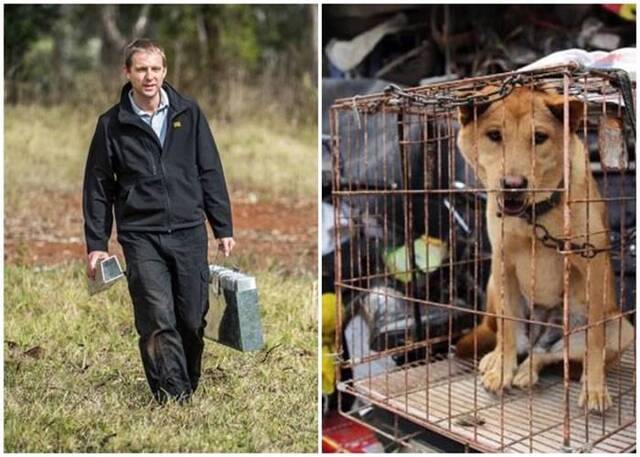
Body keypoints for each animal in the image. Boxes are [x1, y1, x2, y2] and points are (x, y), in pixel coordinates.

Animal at [456, 83, 636, 412]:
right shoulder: (502, 262)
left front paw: (594, 388)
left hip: (621, 328)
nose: (513, 184)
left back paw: (535, 371)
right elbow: (507, 331)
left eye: (539, 137)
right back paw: (498, 361)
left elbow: (594, 342)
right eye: (494, 135)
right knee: (515, 341)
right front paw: (501, 370)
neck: (534, 216)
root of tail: (542, 334)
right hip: (493, 284)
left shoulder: (592, 264)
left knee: (548, 355)